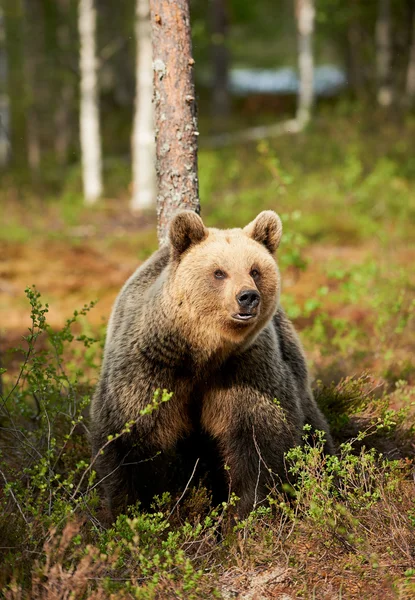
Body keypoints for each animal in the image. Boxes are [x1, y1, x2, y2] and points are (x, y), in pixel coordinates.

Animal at [91, 211, 334, 516]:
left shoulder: (245, 369)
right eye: (219, 272)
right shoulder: (149, 369)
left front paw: (245, 511)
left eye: (254, 270)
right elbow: (130, 441)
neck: (202, 352)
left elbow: (259, 440)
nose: (247, 297)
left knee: (317, 436)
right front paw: (133, 509)